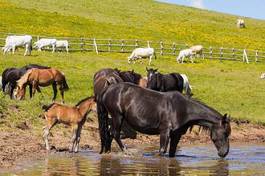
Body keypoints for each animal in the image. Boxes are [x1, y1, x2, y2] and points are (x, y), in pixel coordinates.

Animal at [98, 82, 230, 158]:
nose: (224, 153)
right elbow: (162, 151)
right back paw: (126, 151)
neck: (183, 109)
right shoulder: (165, 131)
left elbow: (172, 152)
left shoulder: (176, 135)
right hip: (117, 116)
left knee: (109, 135)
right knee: (115, 134)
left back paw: (107, 152)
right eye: (225, 133)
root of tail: (108, 88)